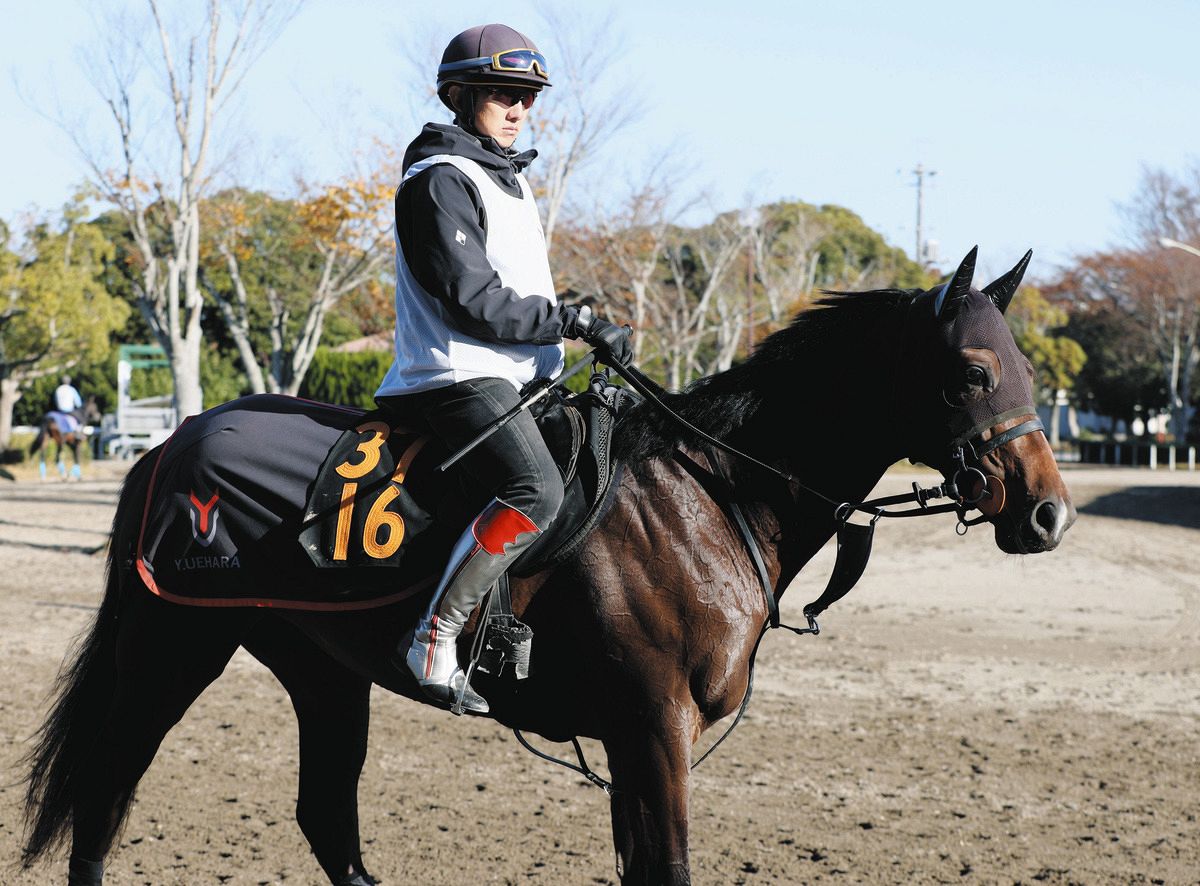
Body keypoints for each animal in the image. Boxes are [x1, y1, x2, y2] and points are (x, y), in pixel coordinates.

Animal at [21, 249, 1074, 886]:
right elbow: (668, 867)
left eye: (1028, 369)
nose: (1049, 512)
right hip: (169, 650)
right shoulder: (652, 732)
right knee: (105, 794)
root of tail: (174, 442)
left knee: (325, 817)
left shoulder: (638, 744)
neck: (709, 492)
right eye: (974, 372)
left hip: (323, 675)